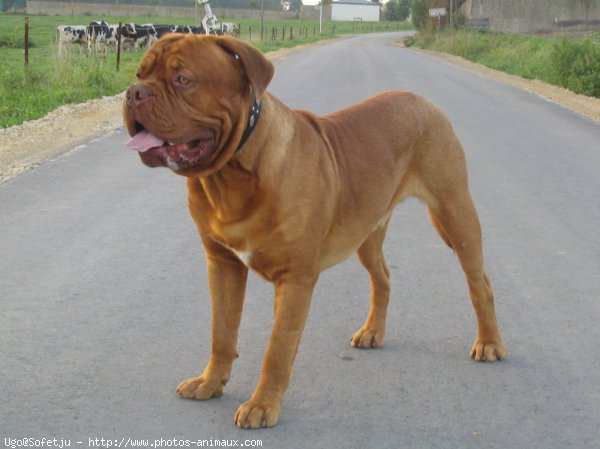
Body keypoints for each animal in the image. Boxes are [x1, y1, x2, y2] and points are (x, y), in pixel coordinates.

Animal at [122, 34, 506, 428]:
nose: (134, 93)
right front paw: (210, 382)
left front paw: (262, 405)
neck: (230, 175)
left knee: (480, 283)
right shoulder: (222, 264)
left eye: (183, 79)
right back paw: (372, 331)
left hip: (454, 214)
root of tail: (423, 100)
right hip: (366, 233)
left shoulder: (295, 278)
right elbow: (222, 332)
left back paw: (489, 343)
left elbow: (278, 348)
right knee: (382, 277)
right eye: (139, 73)